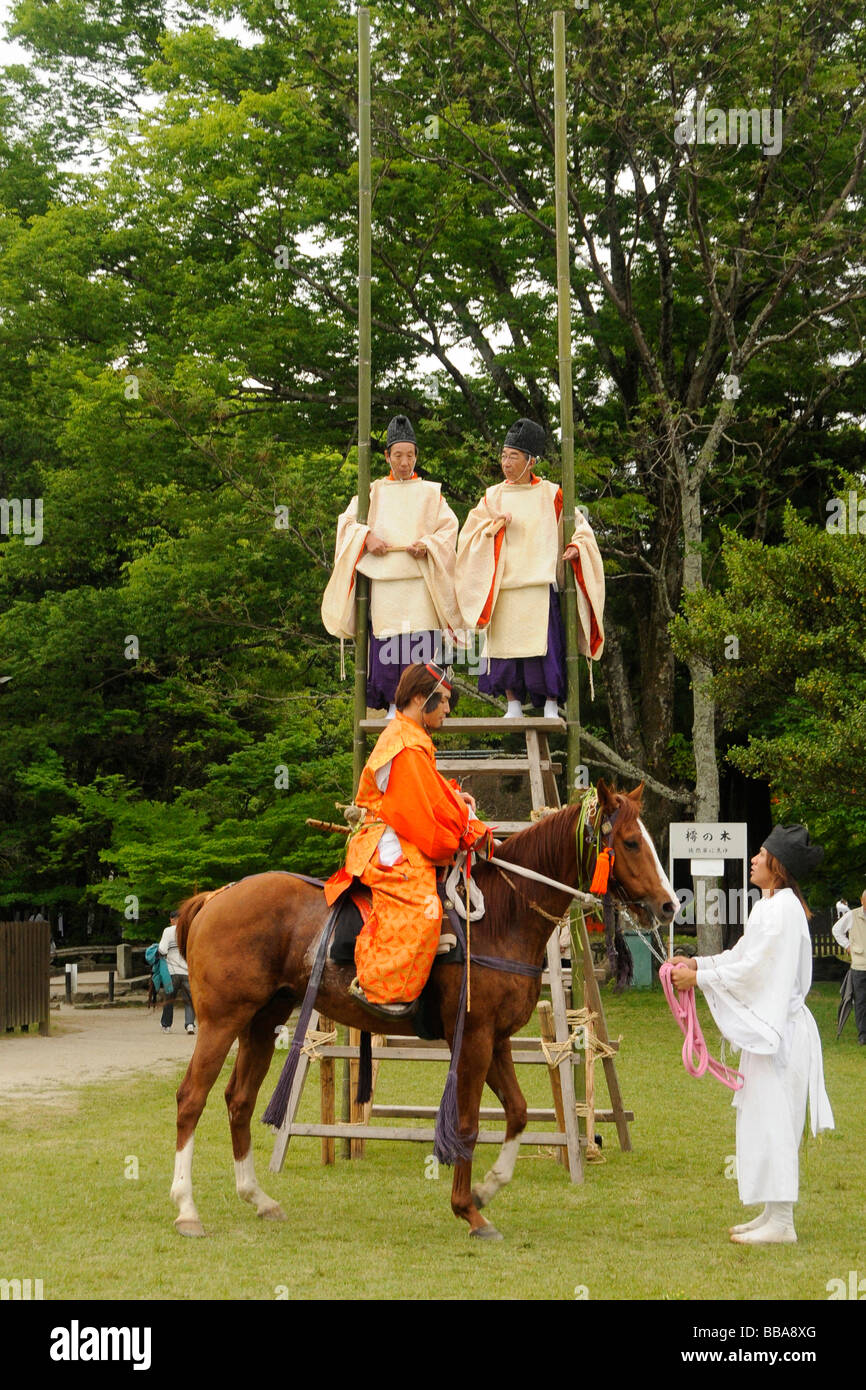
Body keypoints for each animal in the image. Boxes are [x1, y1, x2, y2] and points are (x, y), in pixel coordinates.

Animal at [170, 778, 678, 1245]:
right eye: (631, 842)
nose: (669, 905)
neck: (504, 917)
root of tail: (216, 896)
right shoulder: (473, 1037)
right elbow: (468, 1123)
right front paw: (468, 1211)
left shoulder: (497, 1038)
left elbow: (516, 1112)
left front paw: (487, 1189)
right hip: (221, 1019)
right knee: (191, 1098)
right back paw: (187, 1209)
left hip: (262, 1019)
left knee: (239, 1100)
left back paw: (257, 1197)